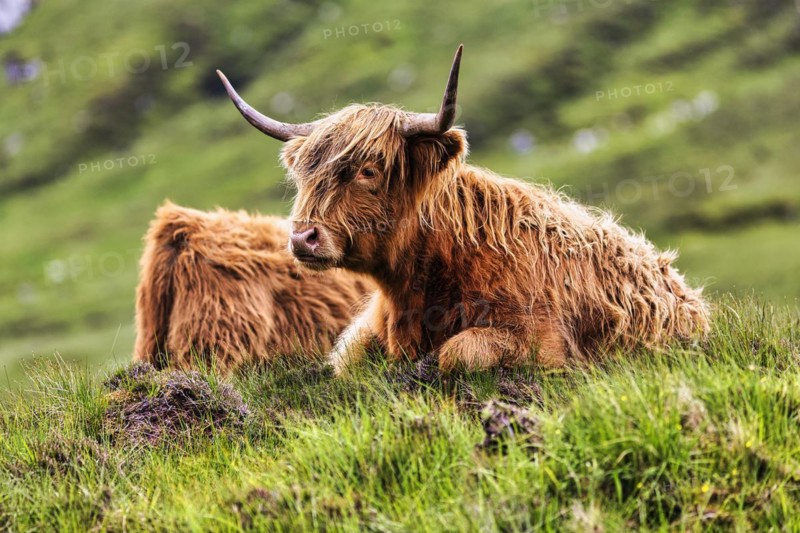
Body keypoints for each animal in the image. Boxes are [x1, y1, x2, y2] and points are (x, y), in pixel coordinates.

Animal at [217, 44, 710, 375]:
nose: (303, 238)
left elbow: (456, 353)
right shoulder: (365, 332)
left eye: (368, 171)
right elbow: (348, 360)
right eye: (305, 173)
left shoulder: (541, 341)